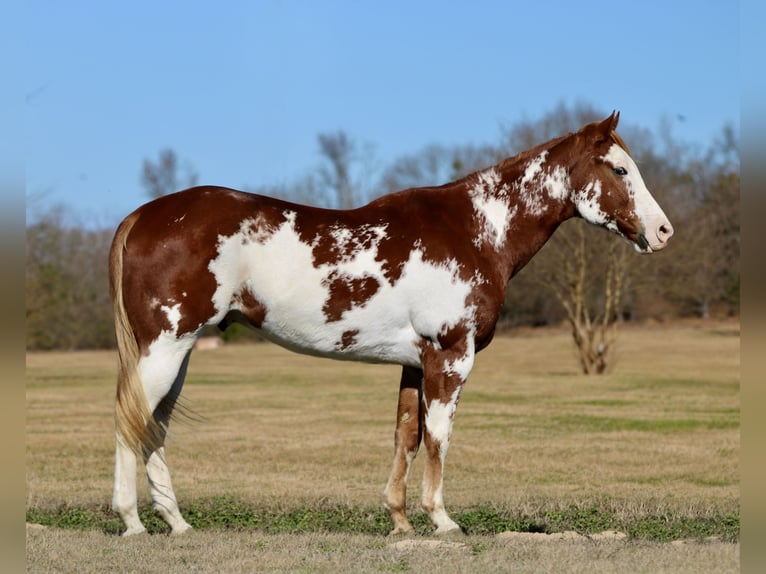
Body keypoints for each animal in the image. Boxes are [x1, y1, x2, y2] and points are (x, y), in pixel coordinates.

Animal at [110, 112, 673, 536]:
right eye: (620, 170)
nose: (664, 231)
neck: (475, 230)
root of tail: (142, 217)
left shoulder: (414, 362)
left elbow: (406, 437)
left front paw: (400, 521)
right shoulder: (450, 355)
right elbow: (440, 435)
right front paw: (442, 520)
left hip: (177, 352)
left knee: (153, 426)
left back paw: (176, 522)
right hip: (166, 347)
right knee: (129, 420)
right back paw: (133, 522)